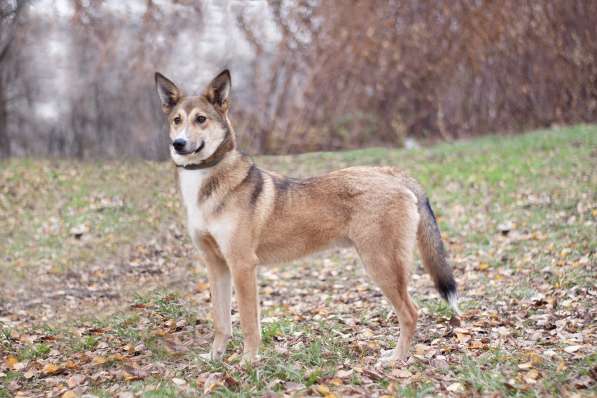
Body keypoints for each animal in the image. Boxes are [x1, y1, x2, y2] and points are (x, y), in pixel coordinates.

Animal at [152, 69, 456, 364]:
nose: (178, 144)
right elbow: (221, 320)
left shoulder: (242, 265)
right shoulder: (216, 265)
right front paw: (215, 357)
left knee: (411, 313)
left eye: (201, 119)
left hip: (381, 264)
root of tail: (393, 174)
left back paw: (396, 359)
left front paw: (248, 362)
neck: (207, 180)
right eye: (177, 120)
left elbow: (249, 323)